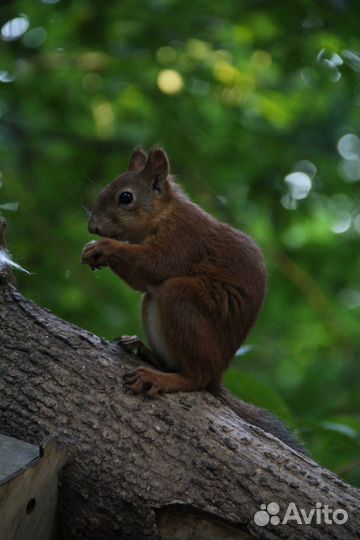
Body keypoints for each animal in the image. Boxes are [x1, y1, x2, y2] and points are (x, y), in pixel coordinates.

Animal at [83, 146, 306, 454]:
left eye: (126, 197)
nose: (92, 227)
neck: (165, 213)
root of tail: (218, 376)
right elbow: (142, 281)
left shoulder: (182, 238)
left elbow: (158, 265)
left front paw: (104, 247)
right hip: (154, 308)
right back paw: (143, 350)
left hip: (181, 298)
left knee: (197, 377)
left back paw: (163, 377)